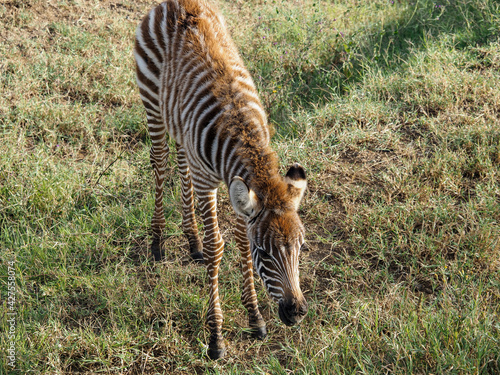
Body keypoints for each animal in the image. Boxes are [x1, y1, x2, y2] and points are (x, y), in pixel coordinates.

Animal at [135, 0, 306, 360]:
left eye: (302, 248)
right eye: (264, 253)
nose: (296, 313)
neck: (241, 131)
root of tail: (179, 3)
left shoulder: (241, 191)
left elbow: (239, 242)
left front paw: (254, 318)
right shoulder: (212, 182)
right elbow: (218, 248)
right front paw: (215, 337)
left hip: (179, 122)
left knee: (181, 162)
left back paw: (192, 240)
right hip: (152, 102)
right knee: (160, 163)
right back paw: (157, 241)